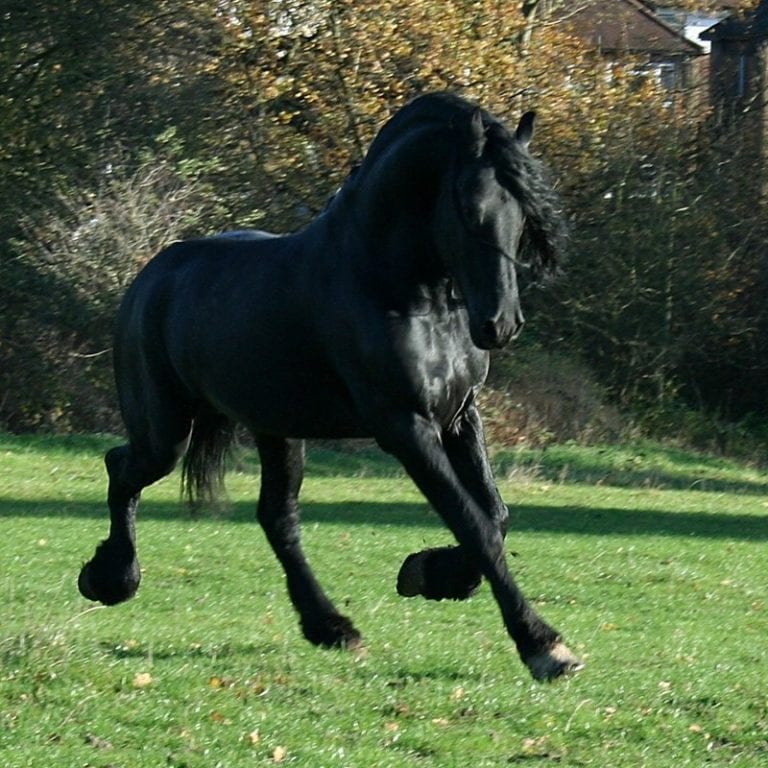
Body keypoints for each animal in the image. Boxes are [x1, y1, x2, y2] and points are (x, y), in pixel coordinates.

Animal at [78, 92, 582, 681]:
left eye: (522, 217)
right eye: (470, 209)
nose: (500, 324)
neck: (397, 286)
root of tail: (151, 275)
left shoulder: (459, 416)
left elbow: (494, 517)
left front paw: (427, 574)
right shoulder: (405, 427)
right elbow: (473, 523)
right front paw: (543, 645)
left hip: (275, 428)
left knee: (277, 519)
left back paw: (330, 627)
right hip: (167, 431)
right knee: (122, 467)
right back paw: (111, 578)